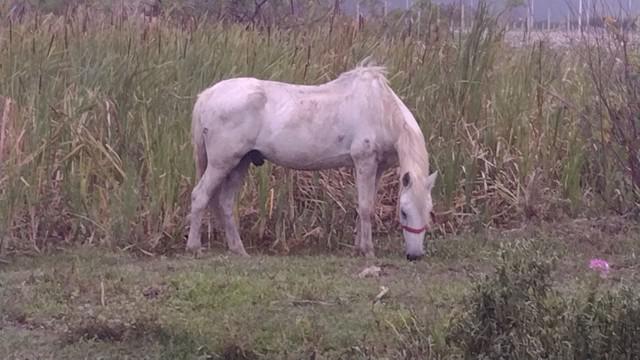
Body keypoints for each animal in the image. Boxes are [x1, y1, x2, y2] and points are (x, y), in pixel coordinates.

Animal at [182, 59, 438, 262]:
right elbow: (365, 207)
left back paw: (238, 250)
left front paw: (359, 247)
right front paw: (367, 251)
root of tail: (207, 95)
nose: (414, 256)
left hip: (240, 163)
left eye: (429, 211)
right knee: (200, 196)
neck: (381, 110)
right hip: (221, 163)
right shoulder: (364, 163)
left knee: (225, 203)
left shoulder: (378, 167)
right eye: (403, 212)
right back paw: (194, 247)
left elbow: (367, 206)